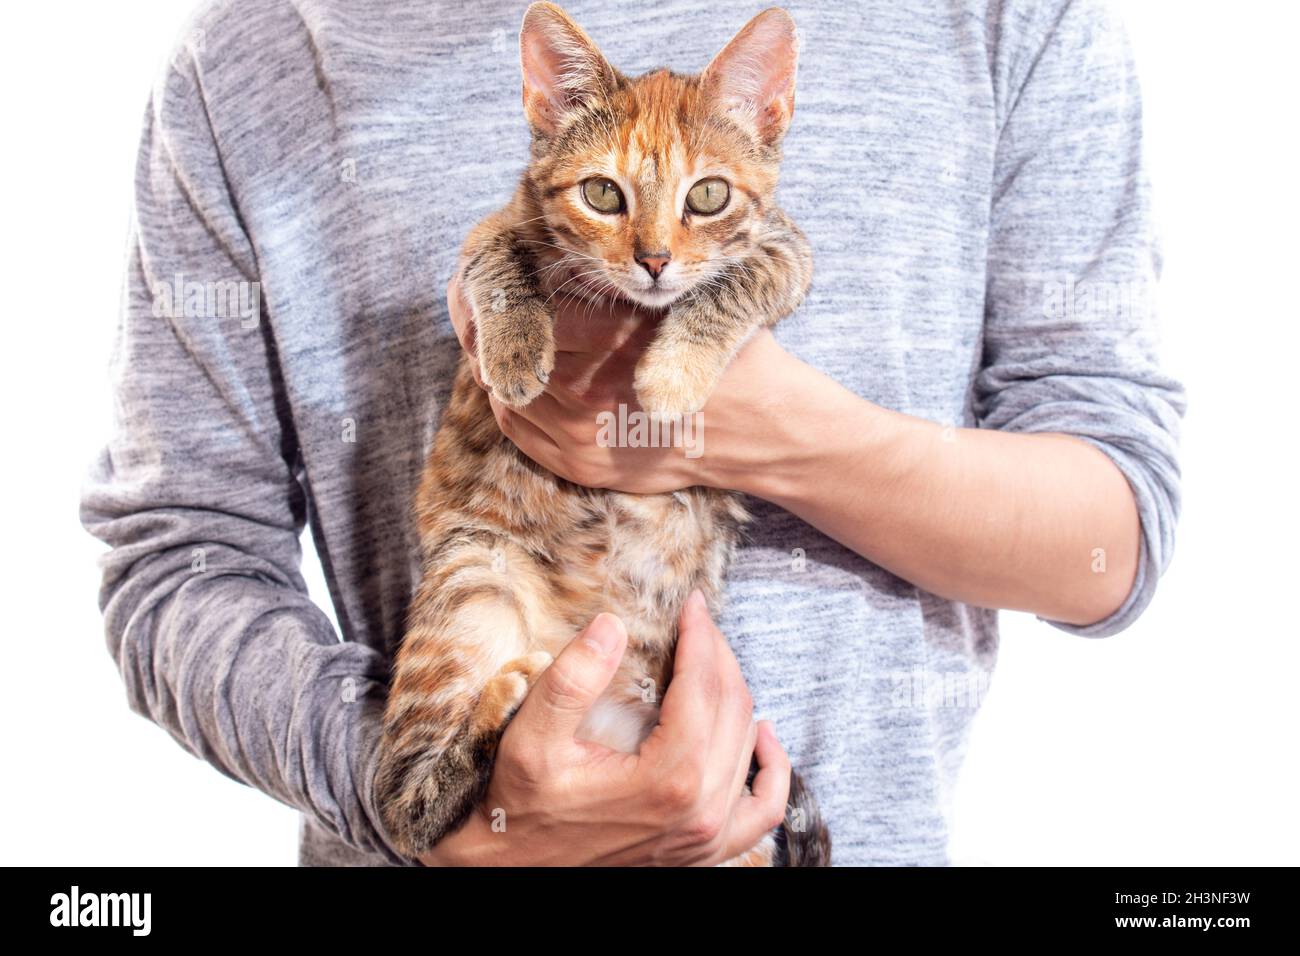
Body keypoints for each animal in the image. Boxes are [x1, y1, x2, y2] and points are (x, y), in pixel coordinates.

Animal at [371, 1, 826, 868]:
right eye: (602, 194)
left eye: (707, 195)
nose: (653, 260)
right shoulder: (492, 227)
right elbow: (495, 260)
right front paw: (515, 351)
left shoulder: (788, 249)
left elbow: (736, 284)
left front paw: (673, 374)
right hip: (470, 577)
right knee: (401, 804)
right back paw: (499, 710)